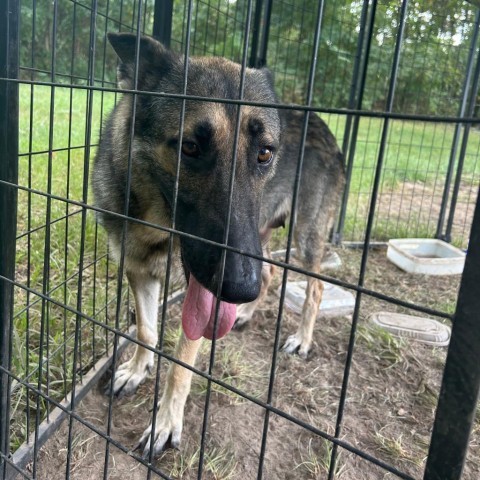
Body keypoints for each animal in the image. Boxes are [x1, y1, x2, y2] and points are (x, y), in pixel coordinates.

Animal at [91, 33, 344, 458]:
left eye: (265, 153)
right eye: (191, 147)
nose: (239, 288)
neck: (156, 223)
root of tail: (324, 125)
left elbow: (180, 363)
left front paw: (166, 422)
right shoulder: (138, 271)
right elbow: (146, 331)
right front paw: (138, 370)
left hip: (301, 239)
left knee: (315, 287)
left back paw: (301, 338)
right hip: (261, 241)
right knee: (270, 272)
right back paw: (246, 314)